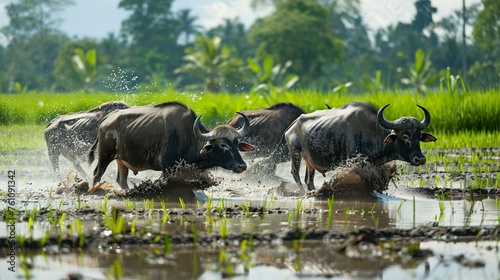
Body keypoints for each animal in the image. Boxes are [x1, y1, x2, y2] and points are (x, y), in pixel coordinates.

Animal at [86, 101, 256, 189]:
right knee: (97, 174)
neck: (188, 137)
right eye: (223, 145)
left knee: (121, 180)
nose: (242, 166)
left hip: (122, 162)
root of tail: (106, 120)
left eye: (236, 143)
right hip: (104, 157)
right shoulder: (167, 168)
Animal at [280, 101, 436, 191]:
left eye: (419, 137)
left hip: (310, 161)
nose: (420, 159)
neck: (372, 131)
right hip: (295, 153)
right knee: (295, 174)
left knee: (309, 180)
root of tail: (293, 125)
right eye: (404, 136)